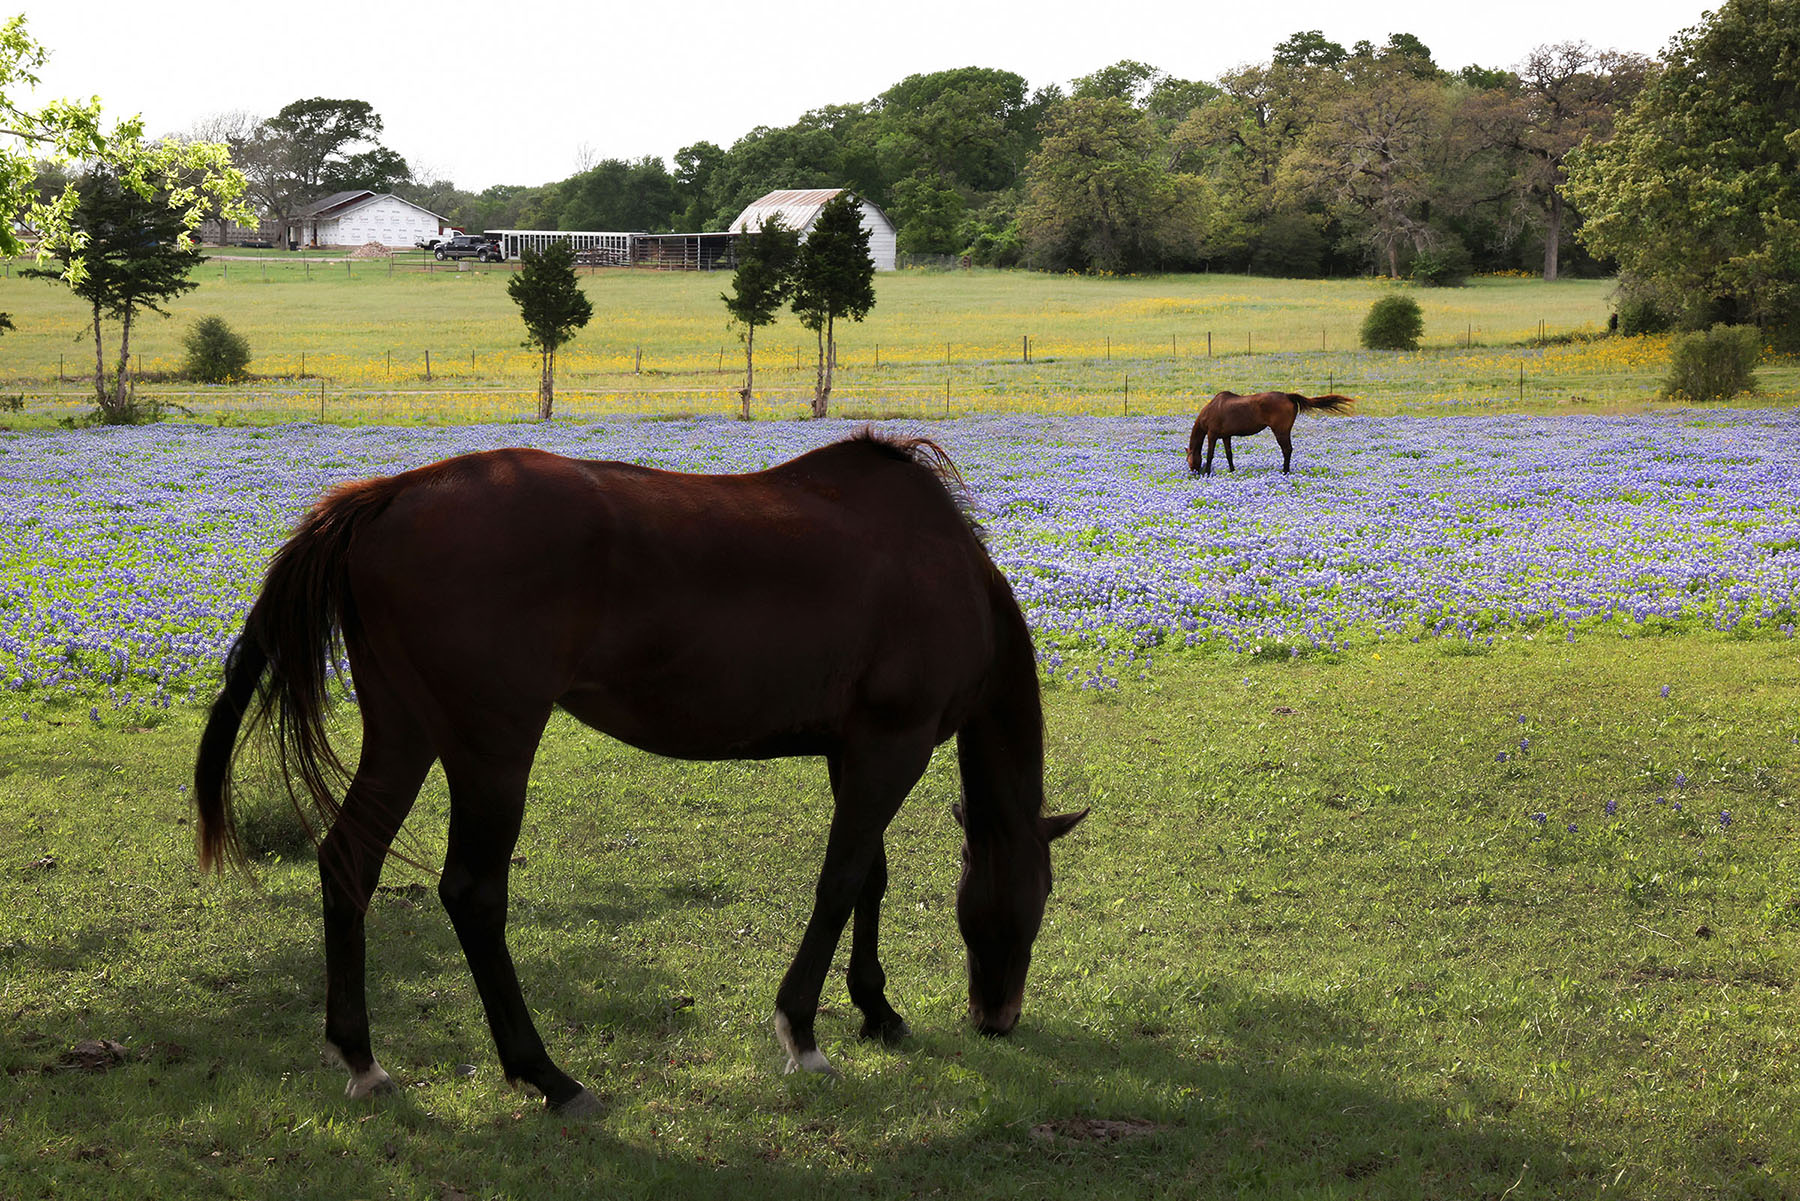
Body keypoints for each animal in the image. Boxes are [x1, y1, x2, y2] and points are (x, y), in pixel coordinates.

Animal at [191, 433, 1087, 1116]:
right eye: (1037, 897)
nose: (998, 1016)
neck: (943, 567)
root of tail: (389, 495)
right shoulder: (890, 747)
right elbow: (840, 881)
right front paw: (802, 1029)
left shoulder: (854, 750)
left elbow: (870, 875)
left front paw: (877, 1008)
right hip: (492, 745)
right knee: (473, 892)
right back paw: (546, 1074)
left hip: (405, 732)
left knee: (350, 860)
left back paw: (361, 1057)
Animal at [1180, 390, 1353, 475]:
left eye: (1189, 459)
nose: (1193, 472)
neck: (1211, 409)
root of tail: (1288, 396)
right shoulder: (1226, 436)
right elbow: (1229, 454)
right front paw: (1232, 470)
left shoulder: (1212, 434)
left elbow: (1210, 455)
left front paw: (1207, 472)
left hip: (1280, 431)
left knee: (1287, 450)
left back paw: (1285, 471)